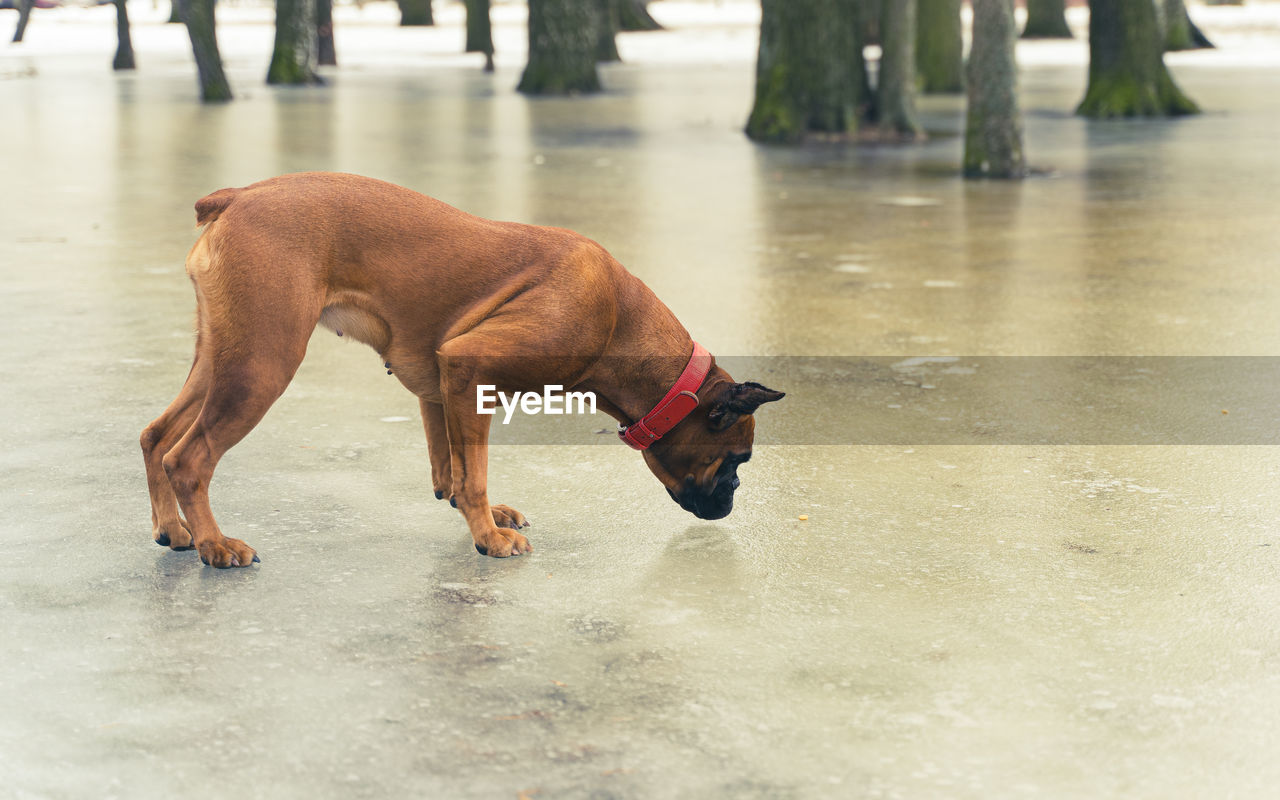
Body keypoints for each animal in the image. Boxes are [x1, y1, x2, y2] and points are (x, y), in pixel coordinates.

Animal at [137, 171, 778, 565]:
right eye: (738, 460)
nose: (732, 501)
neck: (618, 316)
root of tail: (237, 196)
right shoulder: (472, 370)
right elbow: (474, 475)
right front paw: (489, 537)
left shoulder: (442, 388)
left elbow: (452, 468)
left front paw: (485, 516)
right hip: (262, 365)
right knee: (189, 458)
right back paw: (215, 545)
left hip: (221, 360)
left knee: (156, 437)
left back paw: (175, 531)